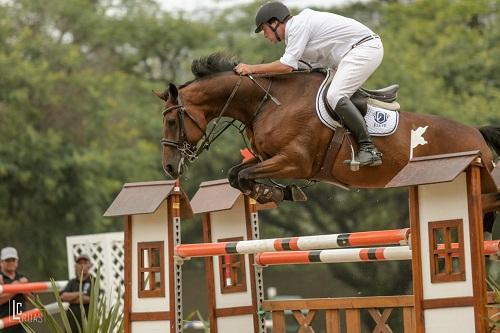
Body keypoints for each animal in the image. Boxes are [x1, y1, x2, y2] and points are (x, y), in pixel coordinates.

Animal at [154, 53, 498, 205]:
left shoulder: (295, 161)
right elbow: (235, 174)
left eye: (171, 121)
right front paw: (272, 192)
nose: (169, 167)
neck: (268, 102)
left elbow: (244, 175)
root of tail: (476, 134)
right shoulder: (267, 157)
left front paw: (270, 192)